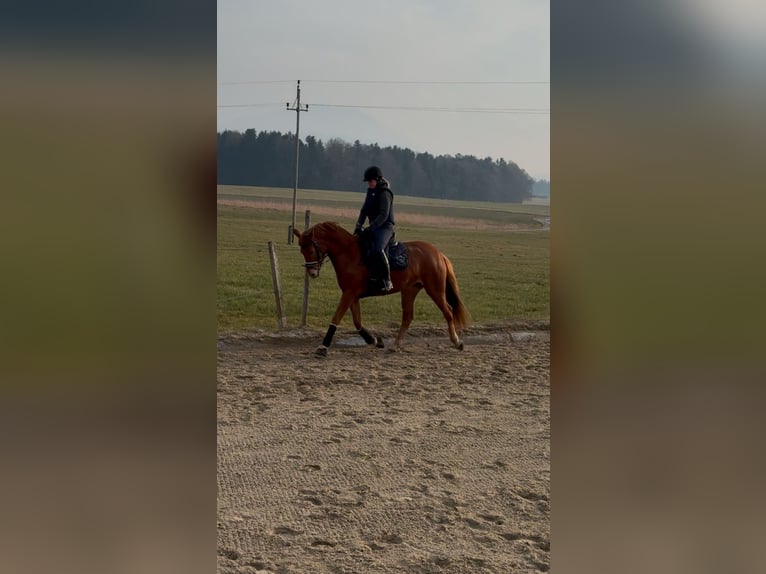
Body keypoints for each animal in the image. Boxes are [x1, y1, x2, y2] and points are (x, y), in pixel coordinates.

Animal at [296, 224, 472, 356]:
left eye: (310, 250)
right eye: (302, 251)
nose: (312, 273)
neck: (348, 253)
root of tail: (438, 253)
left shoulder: (349, 293)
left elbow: (337, 317)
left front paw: (323, 347)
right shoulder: (352, 294)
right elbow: (357, 322)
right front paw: (374, 340)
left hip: (435, 290)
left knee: (448, 312)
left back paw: (457, 342)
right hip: (409, 290)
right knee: (408, 316)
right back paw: (395, 345)